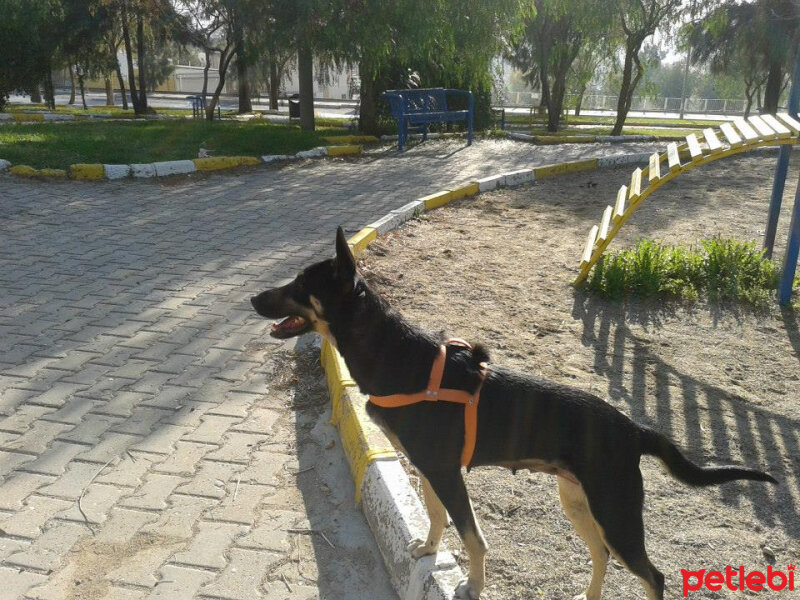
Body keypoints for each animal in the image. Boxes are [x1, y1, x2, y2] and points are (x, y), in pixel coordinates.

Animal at [250, 227, 776, 600]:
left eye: (300, 283)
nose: (253, 298)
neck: (395, 355)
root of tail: (633, 429)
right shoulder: (431, 470)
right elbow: (437, 518)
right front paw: (427, 549)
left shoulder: (446, 473)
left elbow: (473, 536)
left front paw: (473, 586)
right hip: (579, 503)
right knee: (602, 556)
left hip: (617, 513)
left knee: (653, 576)